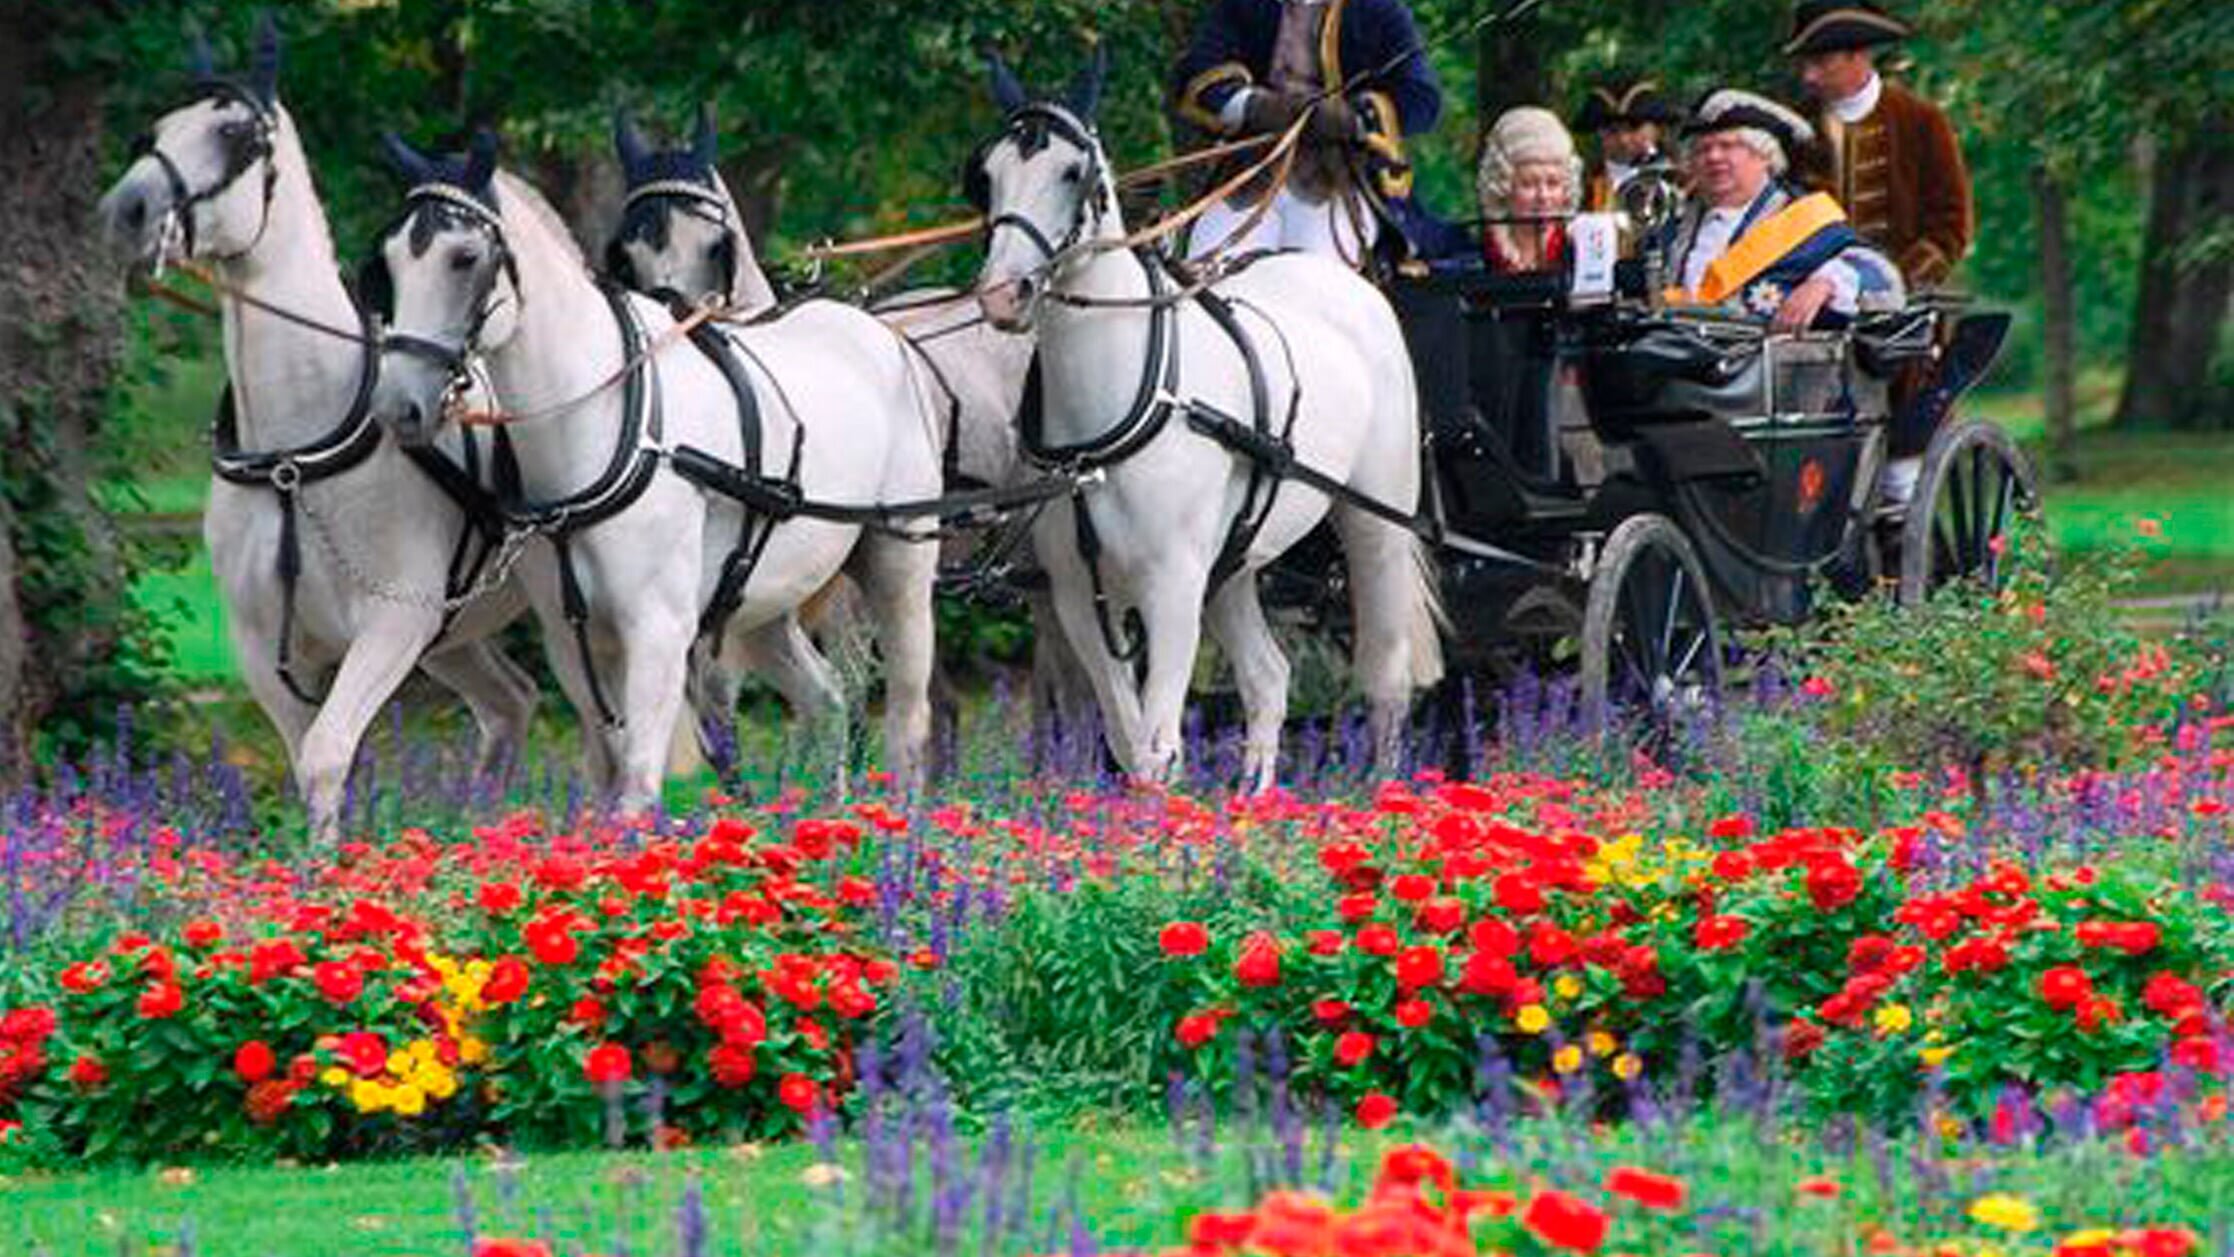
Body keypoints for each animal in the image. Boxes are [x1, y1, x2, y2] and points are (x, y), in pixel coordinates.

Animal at [93, 19, 538, 839]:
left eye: (235, 134)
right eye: (158, 129)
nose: (127, 211)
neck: (293, 453)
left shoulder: (392, 621)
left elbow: (328, 756)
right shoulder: (268, 648)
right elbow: (312, 761)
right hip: (454, 637)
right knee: (512, 703)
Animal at [361, 137, 938, 808]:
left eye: (465, 257)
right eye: (389, 261)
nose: (397, 406)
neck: (604, 423)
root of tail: (882, 334)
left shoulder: (659, 627)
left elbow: (636, 784)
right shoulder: (572, 636)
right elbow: (607, 777)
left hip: (898, 567)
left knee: (907, 719)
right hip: (762, 603)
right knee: (826, 701)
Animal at [969, 54, 1438, 790]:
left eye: (1073, 174)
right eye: (985, 175)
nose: (1000, 294)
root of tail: (1349, 285)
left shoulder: (1172, 584)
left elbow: (1159, 747)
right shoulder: (1079, 595)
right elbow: (1131, 742)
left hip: (1375, 526)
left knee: (1386, 679)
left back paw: (1383, 796)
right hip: (1235, 561)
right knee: (1269, 679)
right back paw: (1253, 801)